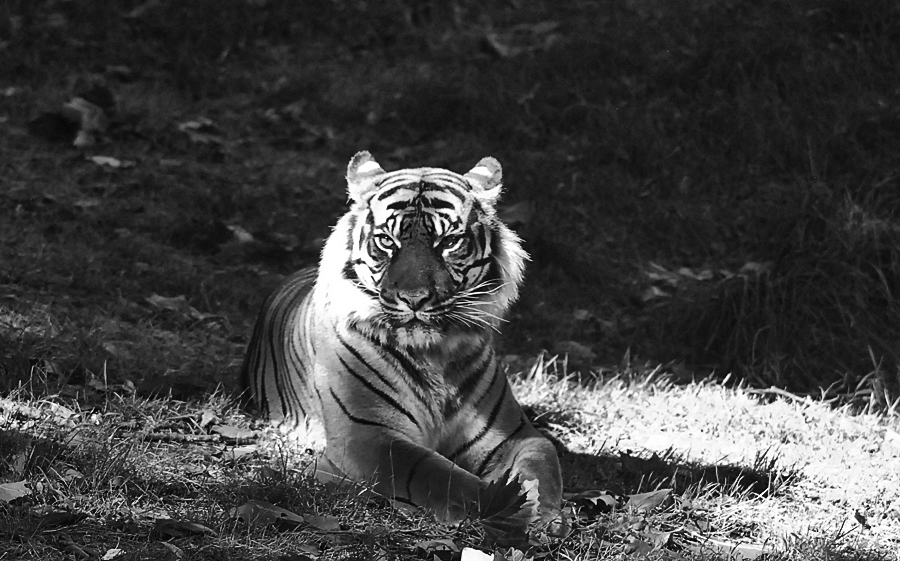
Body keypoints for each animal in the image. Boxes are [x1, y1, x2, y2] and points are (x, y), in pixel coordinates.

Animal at [240, 151, 562, 525]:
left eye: (448, 242)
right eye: (386, 241)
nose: (414, 298)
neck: (435, 353)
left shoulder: (514, 436)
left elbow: (544, 465)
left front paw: (546, 517)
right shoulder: (368, 436)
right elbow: (441, 476)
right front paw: (509, 509)